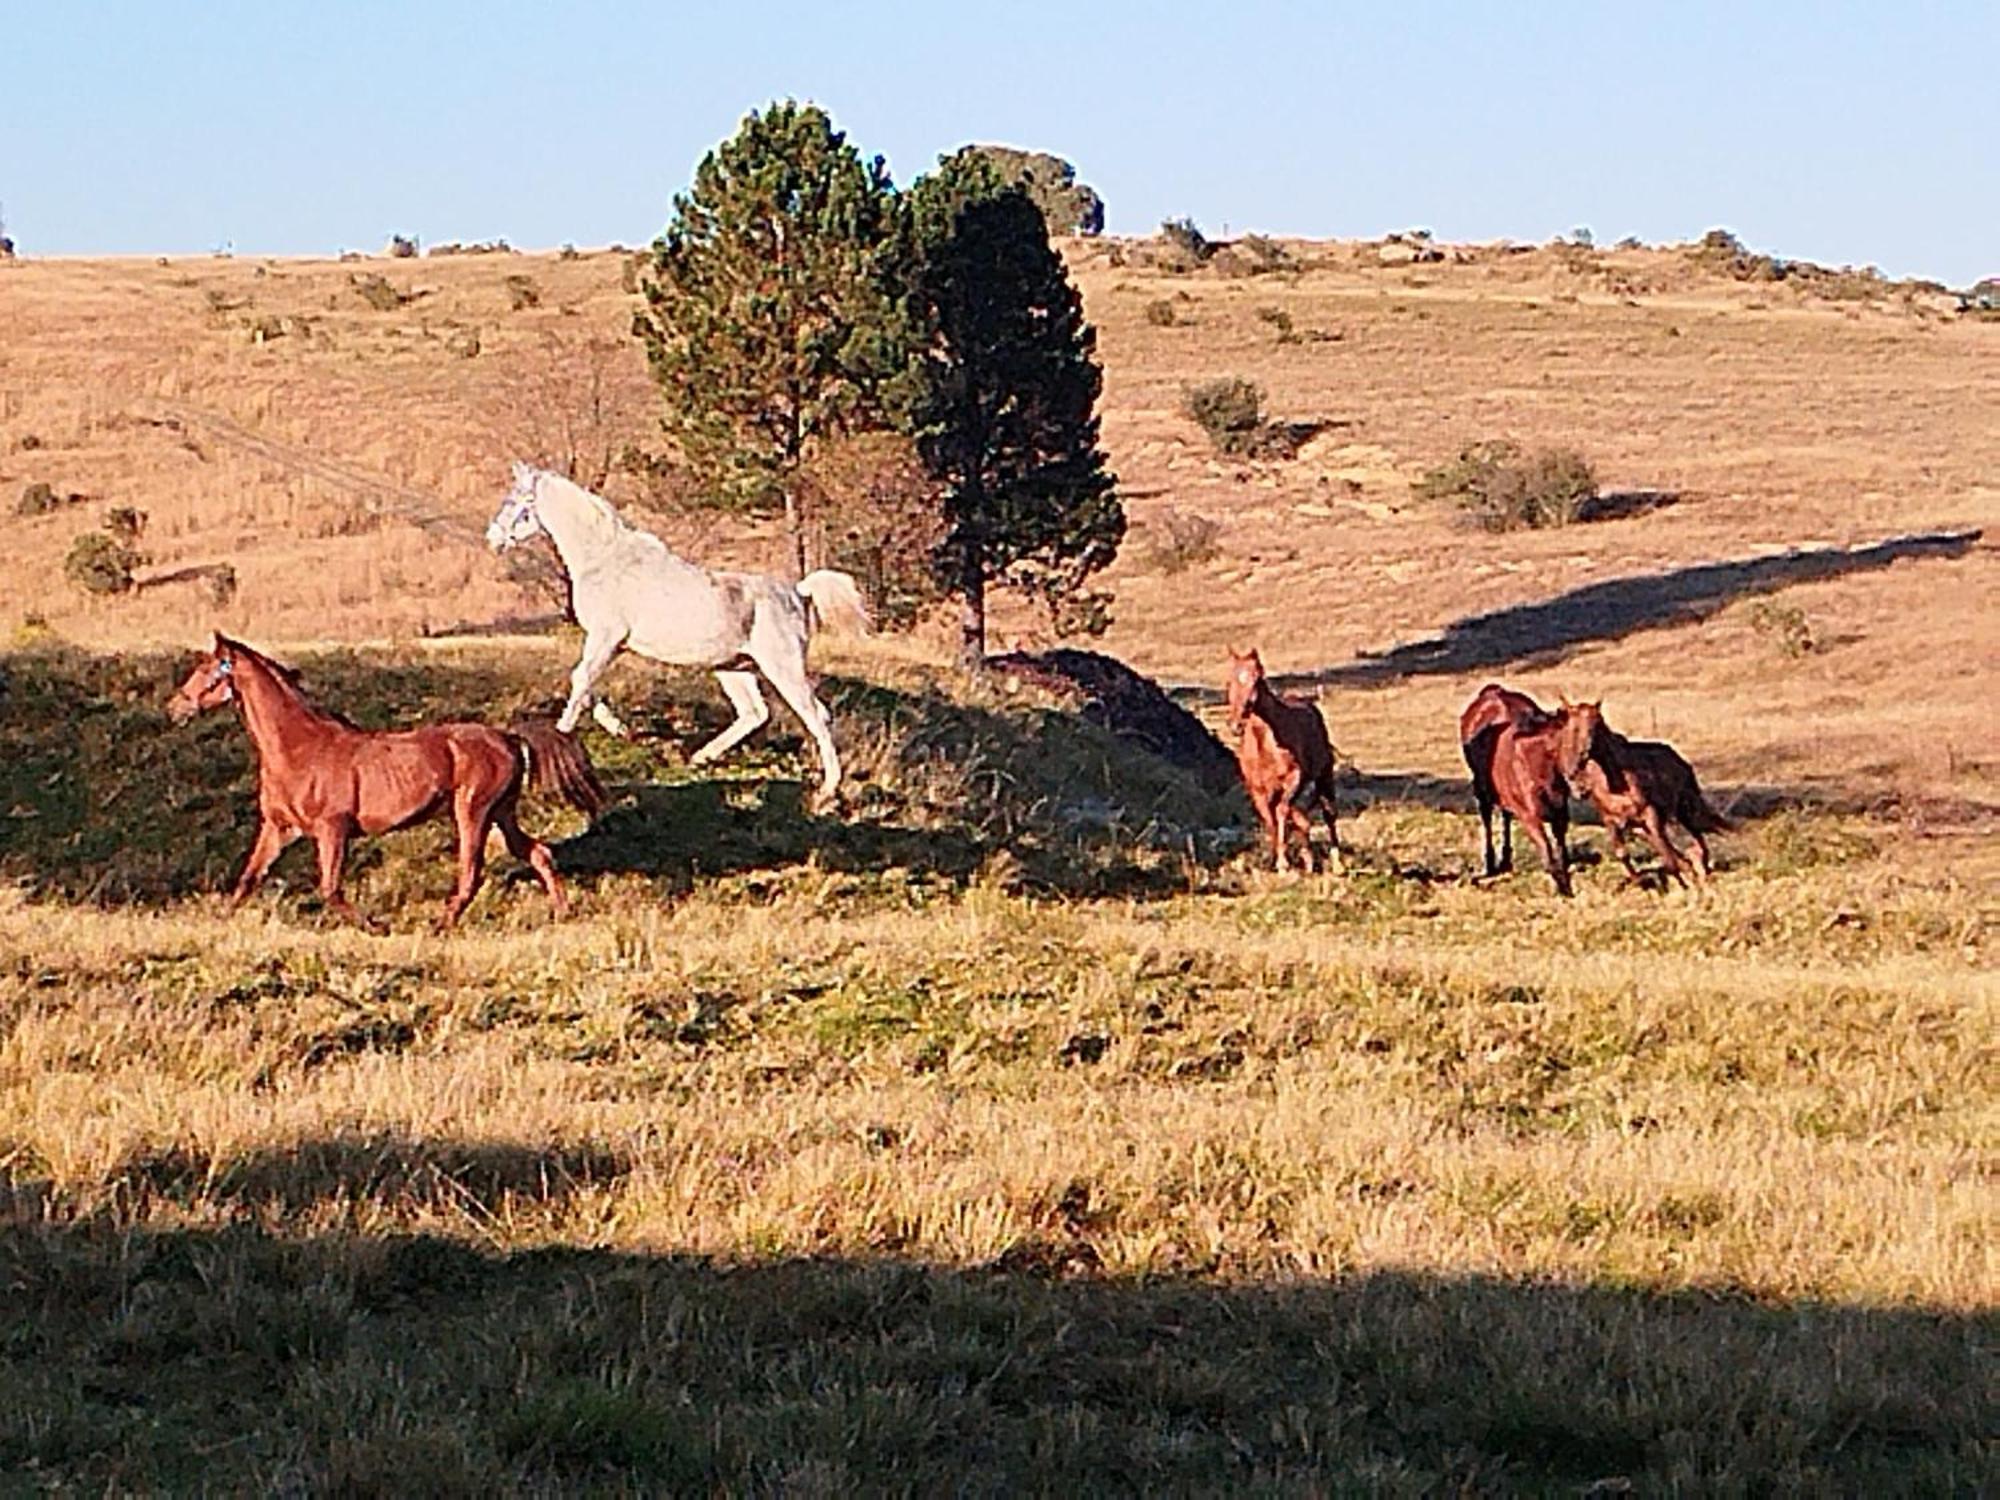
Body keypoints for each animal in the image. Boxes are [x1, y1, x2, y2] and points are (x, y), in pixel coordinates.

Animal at [165, 636, 604, 928]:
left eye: (205, 670)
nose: (174, 708)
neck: (298, 748)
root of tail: (507, 736)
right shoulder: (278, 828)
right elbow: (248, 879)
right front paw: (219, 922)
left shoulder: (332, 829)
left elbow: (330, 888)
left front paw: (376, 926)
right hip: (502, 812)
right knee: (538, 853)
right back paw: (562, 912)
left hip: (473, 812)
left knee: (472, 871)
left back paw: (441, 924)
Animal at [488, 464, 872, 812]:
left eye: (514, 500)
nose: (492, 538)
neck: (605, 559)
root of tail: (797, 591)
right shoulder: (608, 643)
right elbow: (586, 683)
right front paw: (617, 727)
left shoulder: (606, 638)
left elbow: (580, 678)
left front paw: (563, 731)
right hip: (734, 667)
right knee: (754, 713)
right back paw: (700, 757)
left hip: (783, 667)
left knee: (815, 715)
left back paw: (827, 790)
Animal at [1216, 648, 1344, 880]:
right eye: (1230, 681)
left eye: (1256, 678)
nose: (1236, 725)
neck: (1265, 746)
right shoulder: (1258, 791)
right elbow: (1271, 820)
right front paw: (1281, 862)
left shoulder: (1293, 779)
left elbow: (1282, 812)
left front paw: (1284, 864)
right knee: (1301, 818)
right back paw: (1308, 859)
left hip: (1324, 777)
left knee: (1328, 814)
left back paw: (1337, 864)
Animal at [1552, 708, 1728, 892]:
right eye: (1571, 732)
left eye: (1594, 727)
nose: (1573, 779)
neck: (1614, 783)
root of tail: (1679, 759)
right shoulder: (1612, 821)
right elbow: (1623, 853)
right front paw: (1642, 882)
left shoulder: (1650, 816)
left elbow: (1666, 852)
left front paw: (1683, 884)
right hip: (1645, 827)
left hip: (1684, 810)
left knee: (1696, 834)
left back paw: (1701, 867)